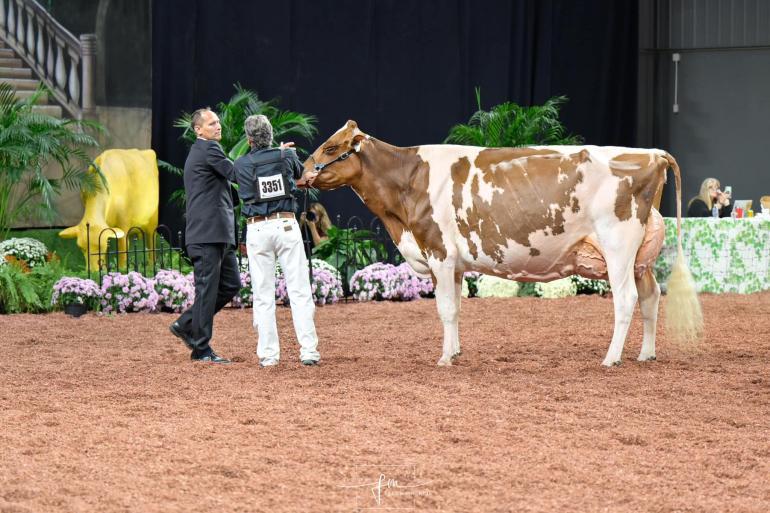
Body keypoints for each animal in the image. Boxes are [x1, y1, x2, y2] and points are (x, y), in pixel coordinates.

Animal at [302, 121, 704, 366]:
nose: (303, 170)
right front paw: (456, 351)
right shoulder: (454, 263)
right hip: (640, 258)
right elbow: (455, 309)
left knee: (626, 299)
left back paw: (611, 358)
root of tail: (650, 153)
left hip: (618, 245)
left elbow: (444, 309)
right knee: (651, 295)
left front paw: (444, 359)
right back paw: (646, 354)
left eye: (332, 147)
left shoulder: (440, 253)